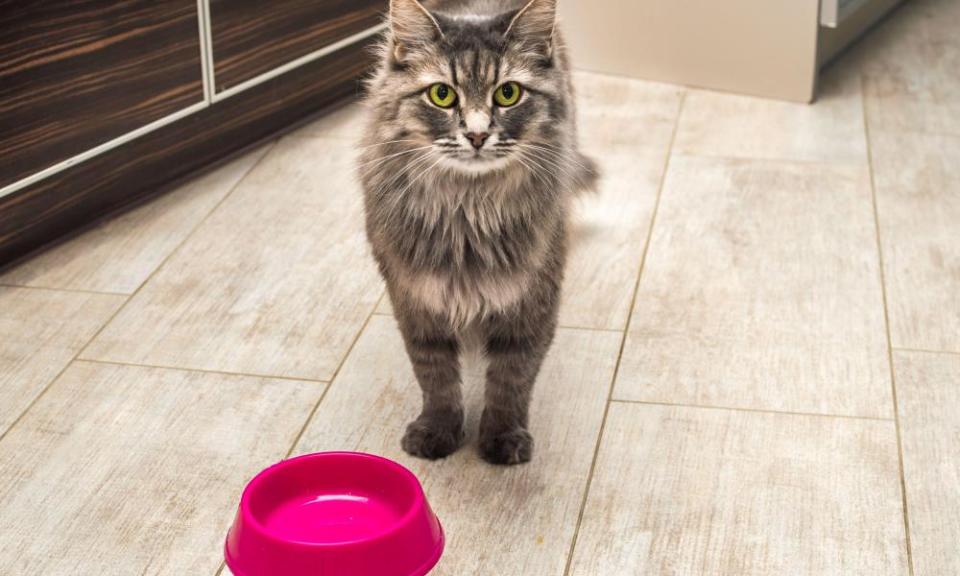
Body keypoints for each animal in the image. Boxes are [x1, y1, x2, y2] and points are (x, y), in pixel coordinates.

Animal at [358, 0, 592, 466]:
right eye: (442, 95)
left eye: (508, 94)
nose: (478, 134)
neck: (468, 211)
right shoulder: (417, 303)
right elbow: (436, 378)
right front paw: (437, 432)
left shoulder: (531, 303)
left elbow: (511, 381)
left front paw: (502, 439)